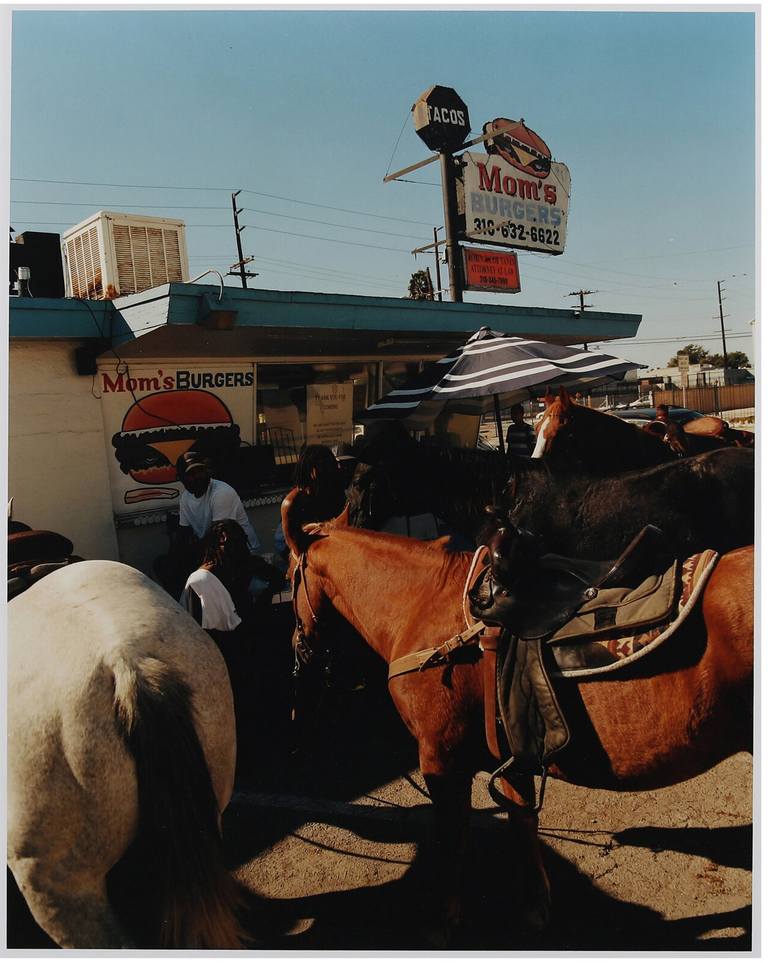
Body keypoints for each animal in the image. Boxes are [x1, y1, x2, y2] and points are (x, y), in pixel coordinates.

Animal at [280, 498, 752, 940]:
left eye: (288, 578)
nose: (299, 650)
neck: (423, 604)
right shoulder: (515, 748)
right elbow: (523, 821)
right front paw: (536, 909)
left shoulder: (440, 758)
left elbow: (453, 840)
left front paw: (444, 923)